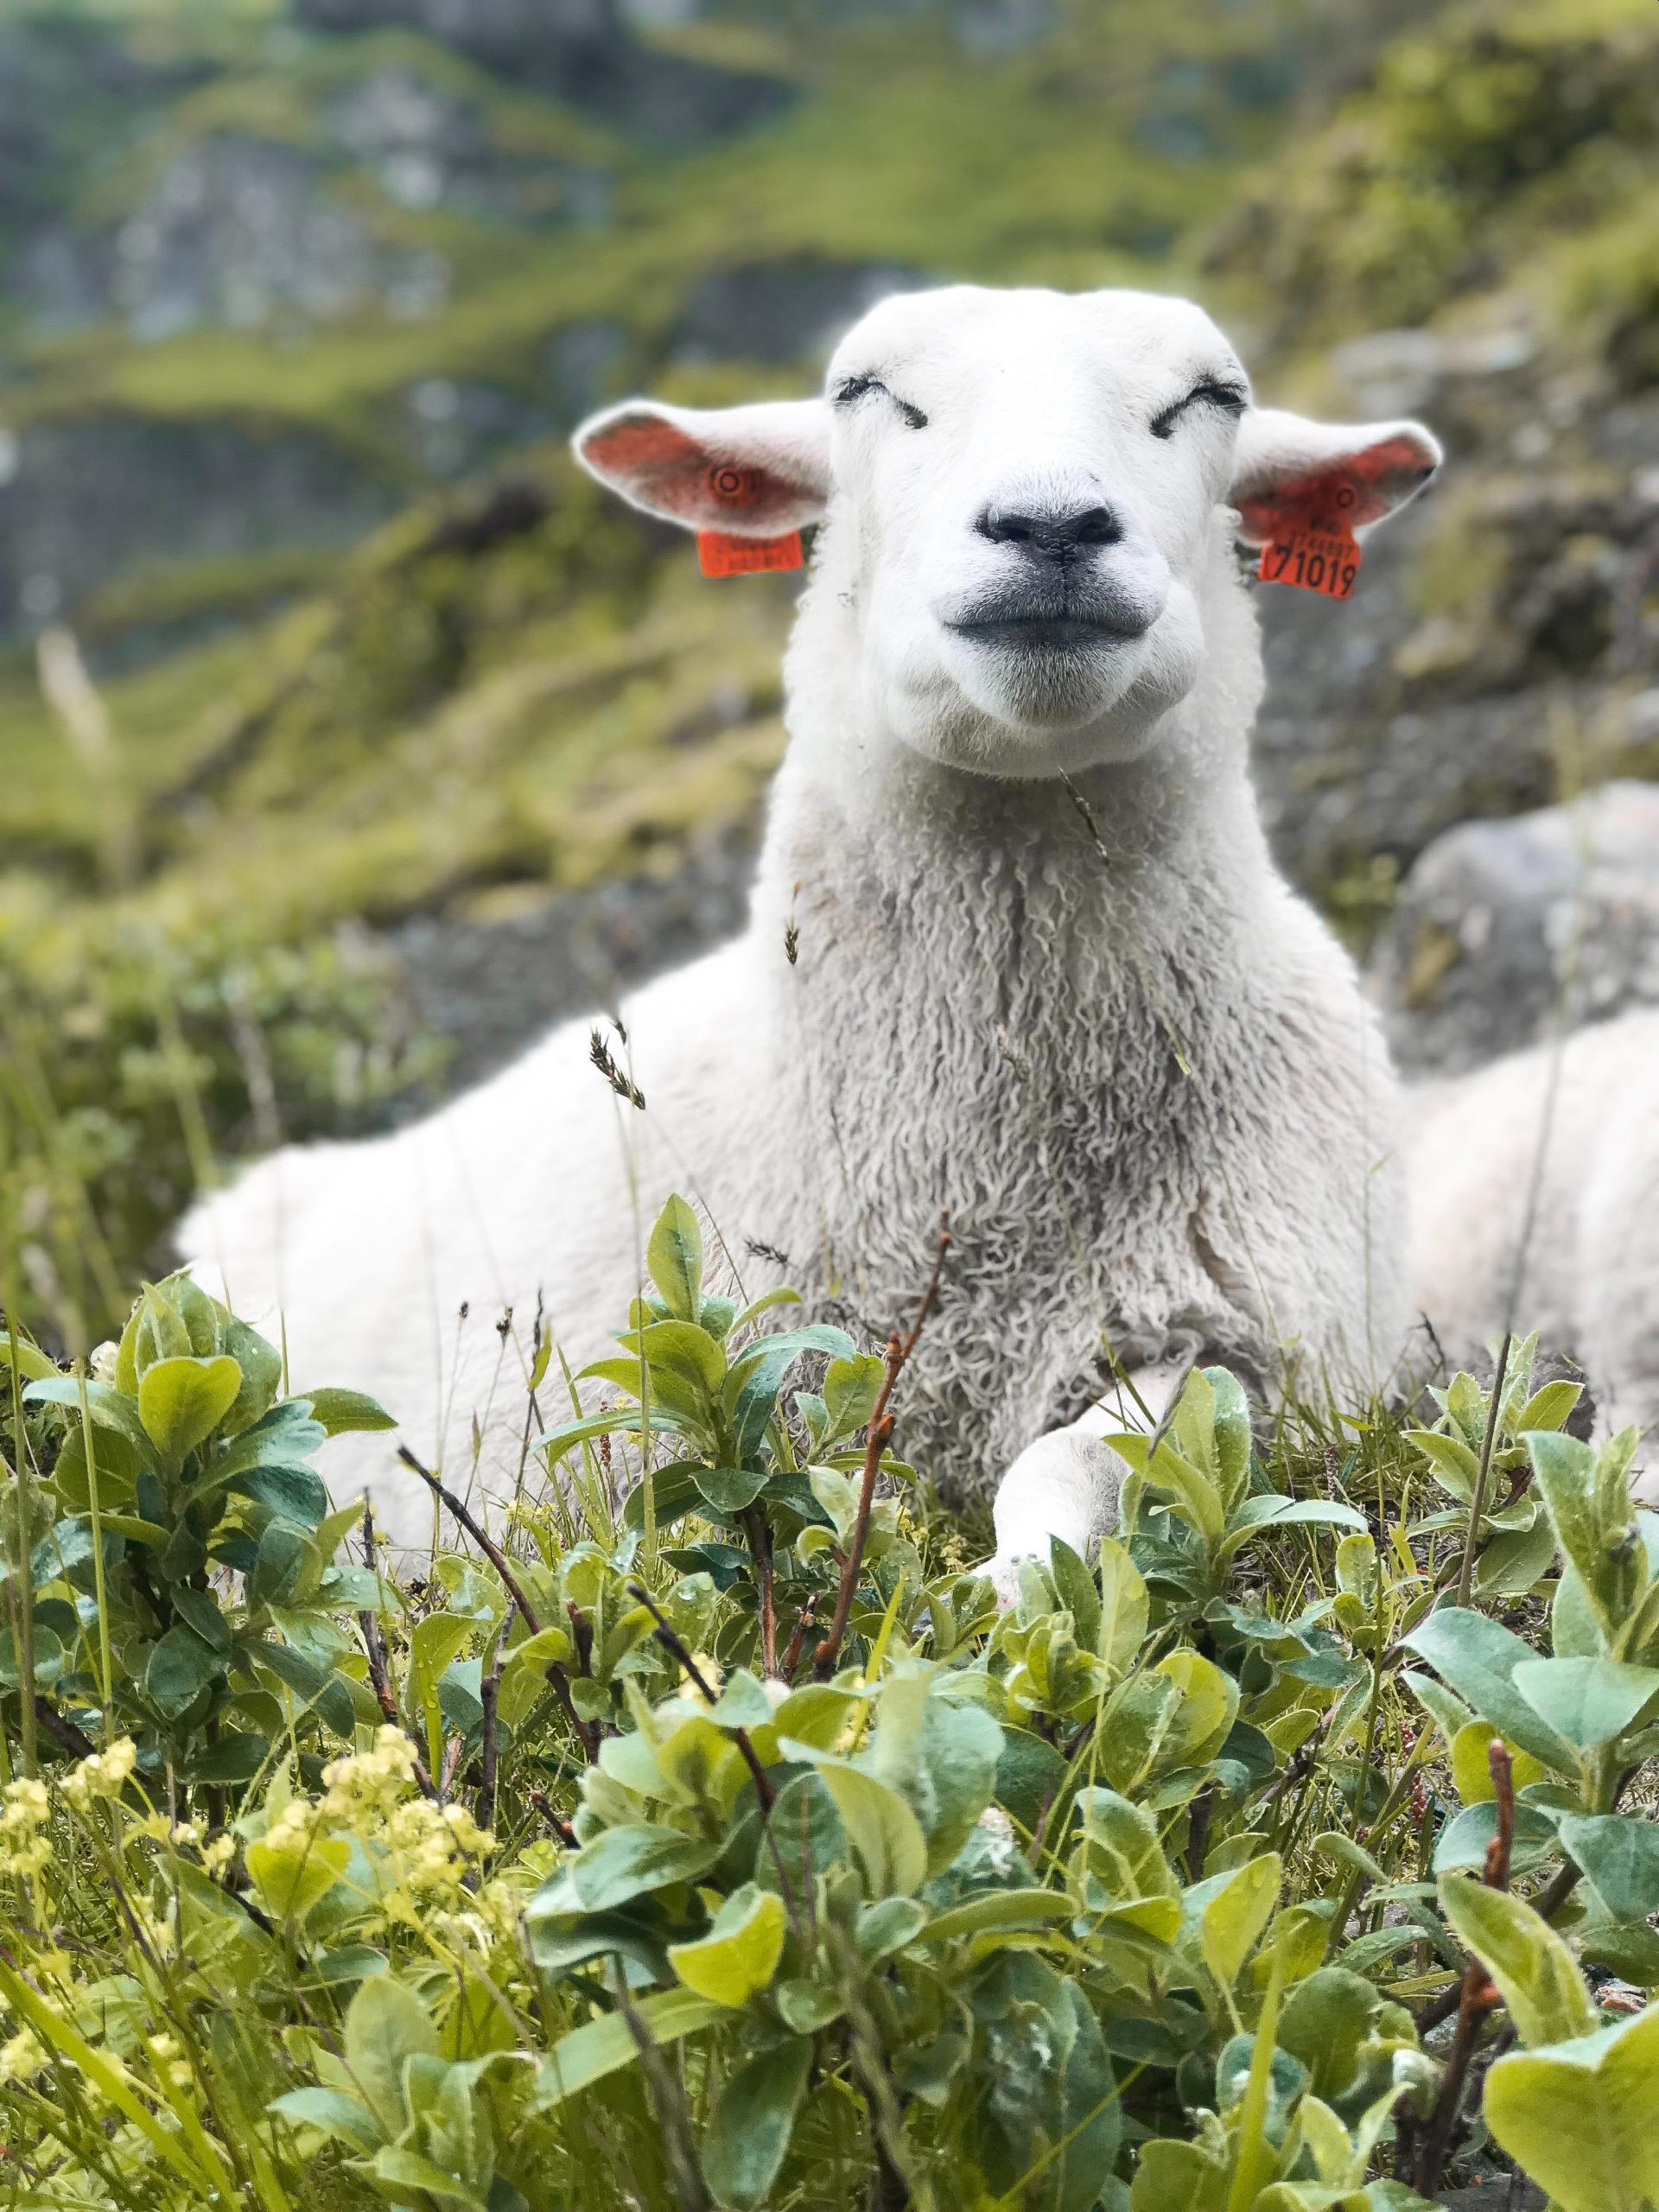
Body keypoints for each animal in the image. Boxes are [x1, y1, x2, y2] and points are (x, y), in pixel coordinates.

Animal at [181, 289, 1442, 1574]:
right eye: (866, 392)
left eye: (1210, 399)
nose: (1051, 527)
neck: (989, 1171)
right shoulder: (663, 1403)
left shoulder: (1249, 1347)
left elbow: (1078, 1469)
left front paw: (1008, 1578)